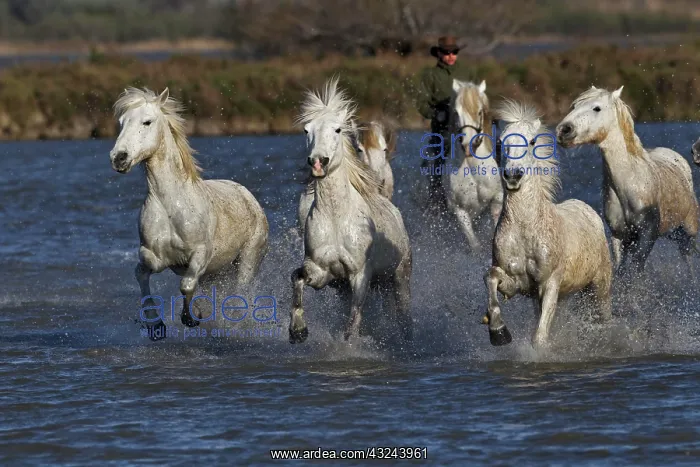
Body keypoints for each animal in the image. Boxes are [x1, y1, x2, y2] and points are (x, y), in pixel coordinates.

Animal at [110, 87, 269, 340]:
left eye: (147, 122)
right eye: (122, 122)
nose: (119, 158)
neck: (171, 206)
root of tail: (248, 196)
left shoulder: (201, 254)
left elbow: (186, 284)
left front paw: (191, 317)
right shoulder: (152, 253)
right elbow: (143, 272)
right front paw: (156, 325)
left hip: (248, 261)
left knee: (239, 291)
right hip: (218, 272)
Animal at [289, 77, 413, 344]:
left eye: (337, 130)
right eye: (306, 130)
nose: (318, 162)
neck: (337, 218)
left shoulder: (360, 275)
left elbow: (353, 323)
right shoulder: (322, 271)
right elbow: (297, 278)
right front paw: (297, 330)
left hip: (400, 279)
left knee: (403, 316)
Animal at [446, 79, 503, 251]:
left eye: (479, 112)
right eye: (456, 112)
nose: (468, 145)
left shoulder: (497, 199)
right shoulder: (458, 209)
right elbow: (474, 244)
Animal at [483, 99, 612, 350]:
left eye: (532, 141)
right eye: (500, 143)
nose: (513, 176)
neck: (526, 229)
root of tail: (589, 211)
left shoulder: (550, 282)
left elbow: (540, 338)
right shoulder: (518, 284)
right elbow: (491, 277)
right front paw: (498, 332)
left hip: (600, 286)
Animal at [556, 86, 699, 276]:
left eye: (597, 108)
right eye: (573, 106)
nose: (564, 130)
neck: (630, 184)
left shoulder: (647, 236)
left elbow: (637, 269)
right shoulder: (619, 235)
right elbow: (621, 269)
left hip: (687, 233)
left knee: (688, 262)